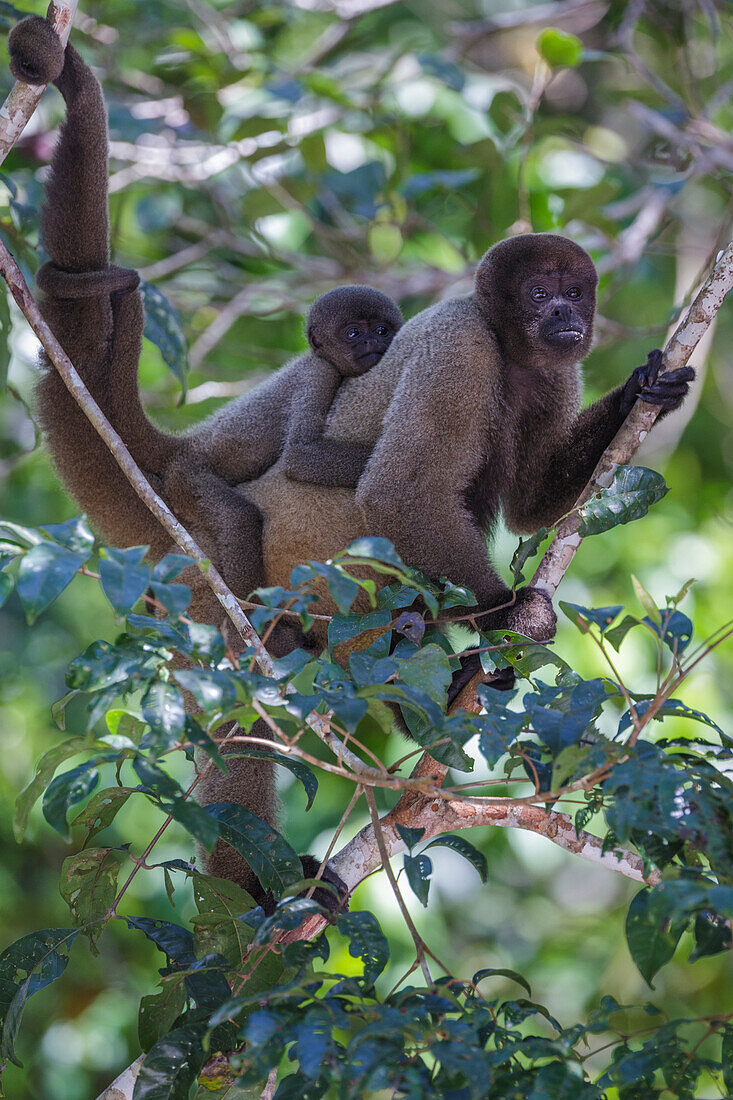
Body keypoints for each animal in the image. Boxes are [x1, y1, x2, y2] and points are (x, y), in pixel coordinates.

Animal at [163, 286, 400, 602]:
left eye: (382, 329)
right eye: (353, 333)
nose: (371, 340)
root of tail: (190, 443)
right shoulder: (319, 373)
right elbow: (300, 455)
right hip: (186, 478)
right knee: (240, 517)